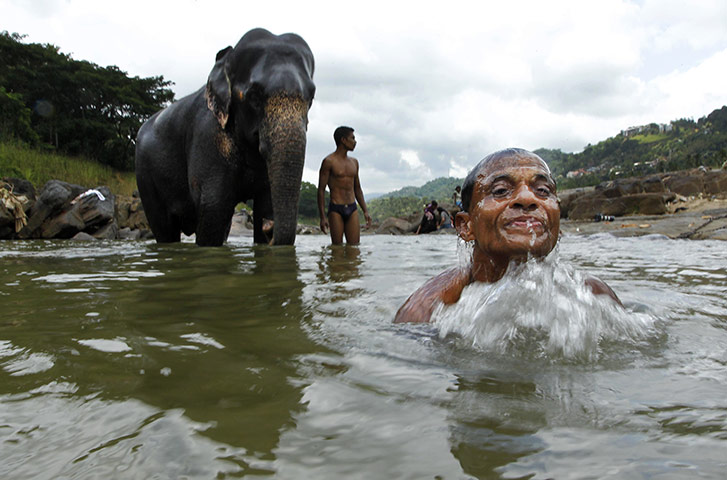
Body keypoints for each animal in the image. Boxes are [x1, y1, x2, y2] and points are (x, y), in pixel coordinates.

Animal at [135, 28, 315, 246]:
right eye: (254, 96)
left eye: (311, 97)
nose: (269, 227)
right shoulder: (207, 136)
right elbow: (214, 206)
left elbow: (266, 202)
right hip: (145, 175)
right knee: (164, 227)